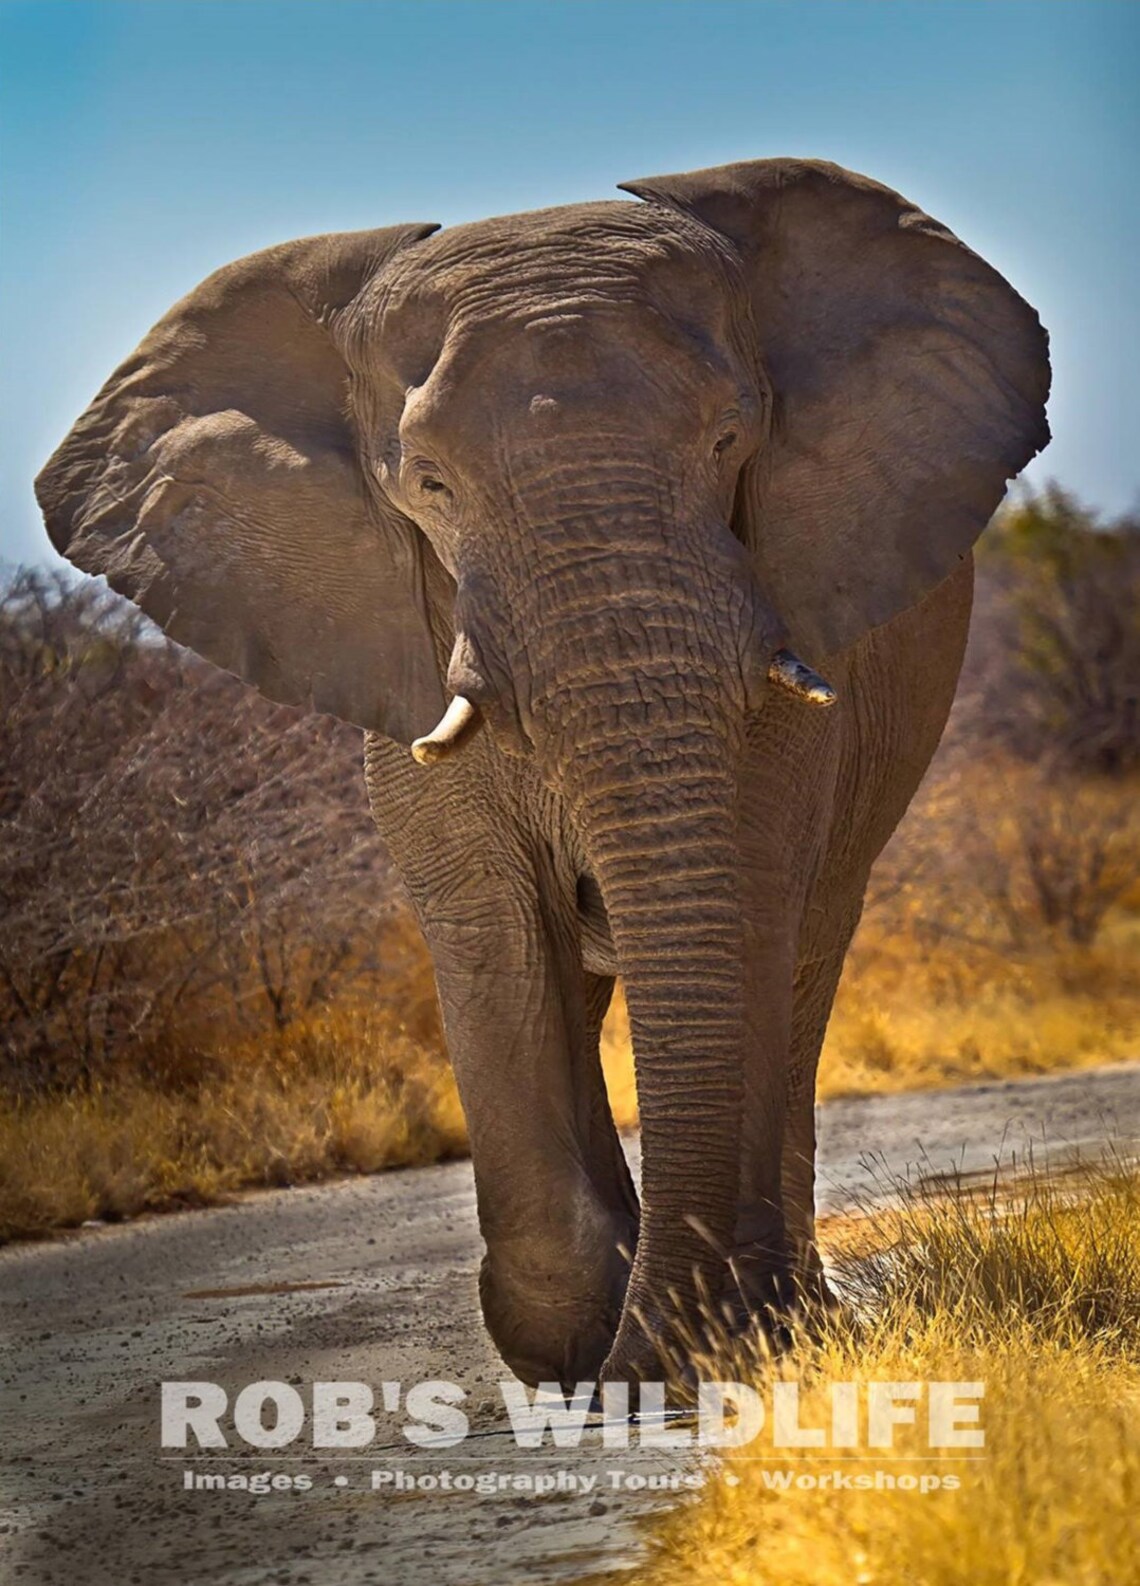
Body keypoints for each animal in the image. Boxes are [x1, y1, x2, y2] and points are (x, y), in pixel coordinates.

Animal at [37, 158, 1050, 1392]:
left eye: (732, 438)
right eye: (428, 485)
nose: (646, 1375)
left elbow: (749, 907)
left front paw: (708, 1341)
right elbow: (498, 930)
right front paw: (572, 1342)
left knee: (808, 951)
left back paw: (784, 1311)